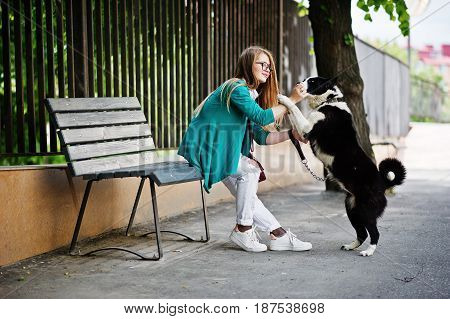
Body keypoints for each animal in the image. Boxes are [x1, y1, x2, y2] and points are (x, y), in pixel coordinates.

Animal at [280, 77, 406, 258]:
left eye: (312, 81)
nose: (298, 83)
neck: (329, 101)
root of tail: (383, 183)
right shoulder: (303, 132)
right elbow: (292, 114)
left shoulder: (307, 130)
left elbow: (294, 108)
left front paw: (283, 98)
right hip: (352, 208)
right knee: (362, 233)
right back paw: (351, 246)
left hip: (366, 211)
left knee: (375, 233)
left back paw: (368, 251)